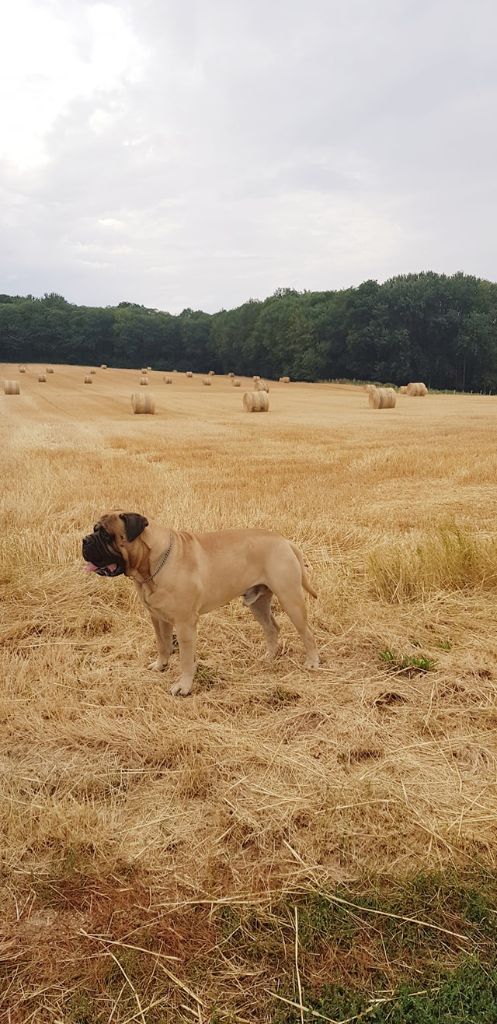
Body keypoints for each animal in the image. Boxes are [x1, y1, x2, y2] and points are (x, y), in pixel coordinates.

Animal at [81, 512, 319, 696]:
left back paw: (312, 662)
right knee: (272, 628)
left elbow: (186, 659)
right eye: (95, 530)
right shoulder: (157, 618)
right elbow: (162, 644)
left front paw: (183, 686)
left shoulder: (185, 624)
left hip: (290, 598)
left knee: (307, 632)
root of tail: (284, 541)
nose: (85, 540)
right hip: (258, 602)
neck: (151, 566)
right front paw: (161, 665)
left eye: (105, 535)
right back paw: (269, 657)